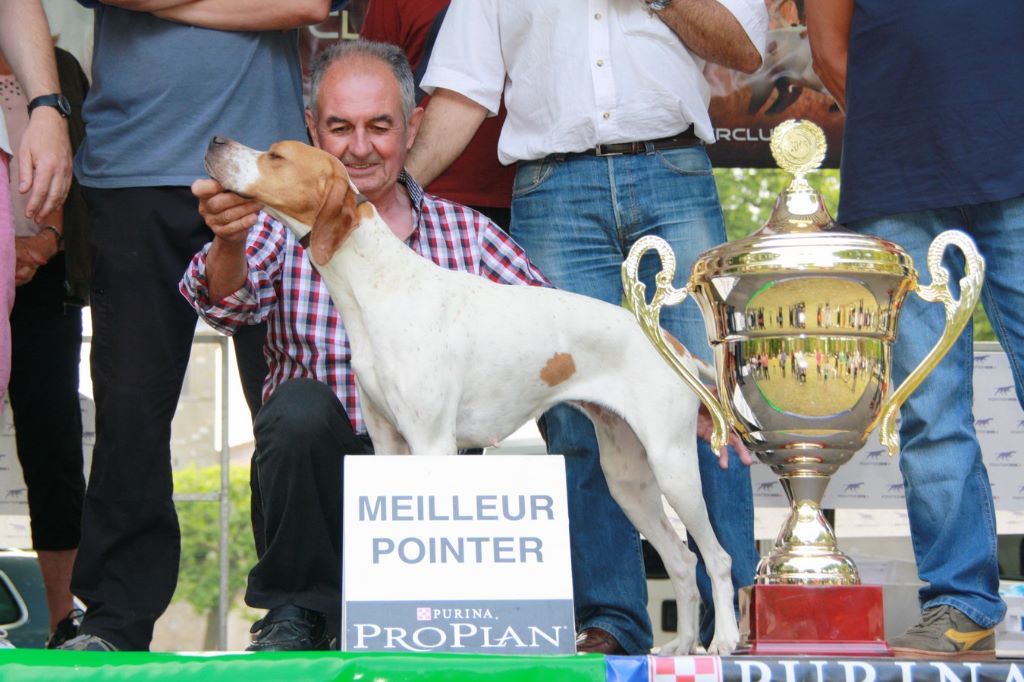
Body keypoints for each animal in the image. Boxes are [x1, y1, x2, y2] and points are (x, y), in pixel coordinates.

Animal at [203, 135, 741, 651]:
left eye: (277, 156)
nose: (215, 142)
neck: (378, 286)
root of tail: (668, 341)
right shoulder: (388, 443)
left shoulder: (431, 443)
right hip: (628, 479)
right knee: (681, 560)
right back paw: (682, 647)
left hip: (672, 466)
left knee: (716, 557)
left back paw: (725, 640)